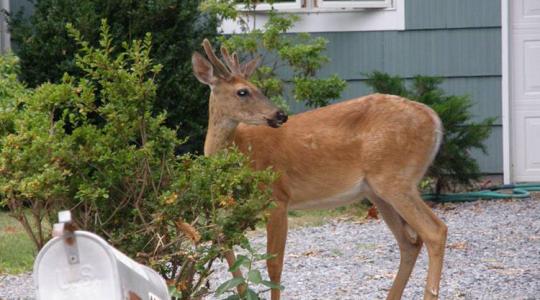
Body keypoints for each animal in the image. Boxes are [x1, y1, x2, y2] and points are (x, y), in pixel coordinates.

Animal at [192, 38, 450, 300]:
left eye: (256, 87)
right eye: (242, 91)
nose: (280, 114)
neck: (241, 149)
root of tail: (434, 118)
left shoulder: (278, 196)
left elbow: (274, 265)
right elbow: (223, 245)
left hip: (395, 178)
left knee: (435, 231)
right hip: (378, 191)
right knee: (409, 242)